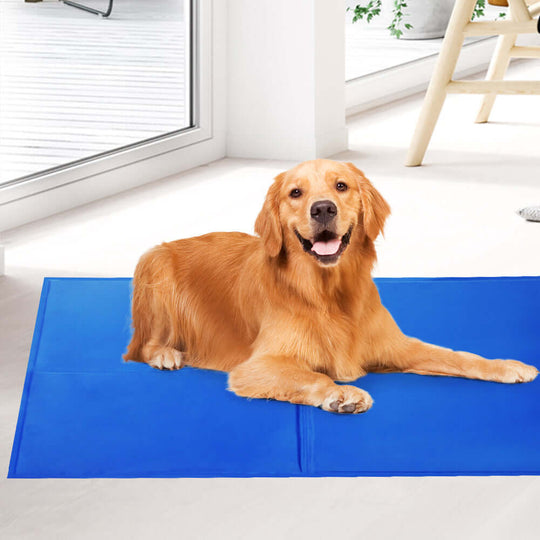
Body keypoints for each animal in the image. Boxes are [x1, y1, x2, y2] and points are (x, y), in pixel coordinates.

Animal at [123, 159, 540, 414]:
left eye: (341, 186)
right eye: (295, 192)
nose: (323, 208)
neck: (328, 294)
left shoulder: (396, 346)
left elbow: (457, 356)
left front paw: (505, 365)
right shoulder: (256, 366)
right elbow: (313, 375)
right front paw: (342, 393)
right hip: (153, 263)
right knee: (142, 346)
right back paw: (165, 354)